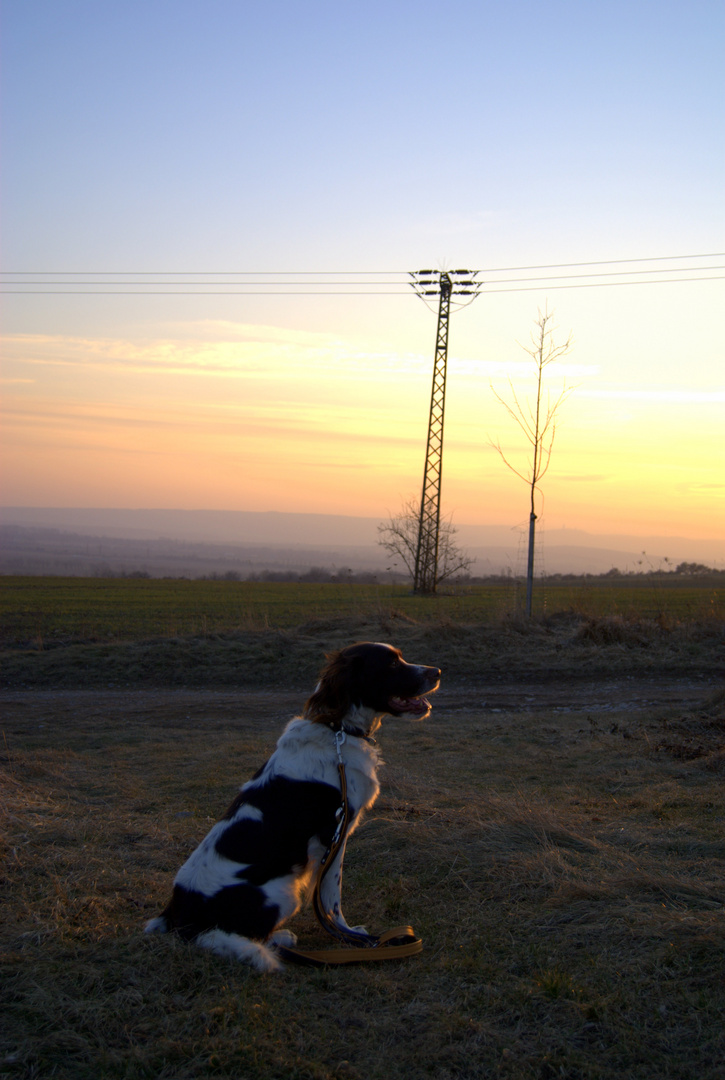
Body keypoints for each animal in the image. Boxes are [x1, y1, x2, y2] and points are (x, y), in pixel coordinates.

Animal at [145, 635, 438, 976]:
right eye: (391, 664)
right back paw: (281, 939)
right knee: (244, 934)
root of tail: (176, 917)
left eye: (400, 657)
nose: (437, 672)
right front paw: (348, 935)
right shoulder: (333, 835)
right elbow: (331, 896)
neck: (338, 730)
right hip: (282, 892)